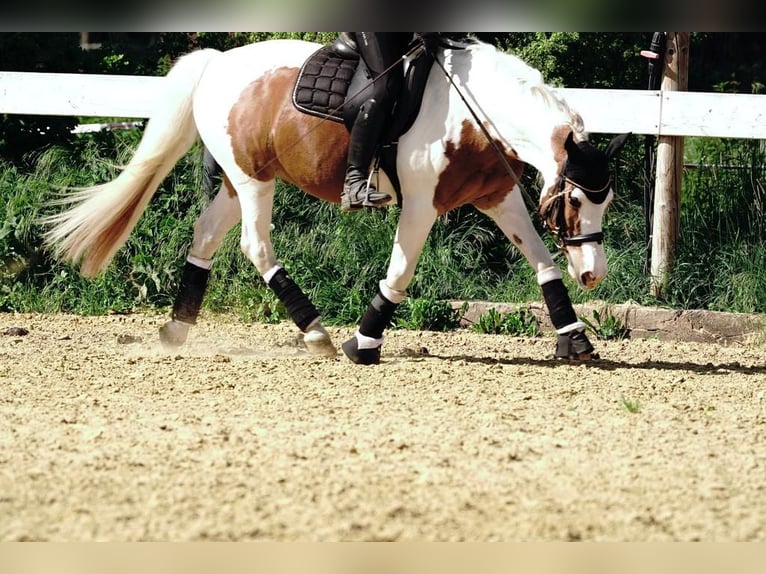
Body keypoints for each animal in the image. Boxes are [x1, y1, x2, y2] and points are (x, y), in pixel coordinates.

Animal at [43, 36, 628, 365]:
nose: (594, 275)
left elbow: (542, 262)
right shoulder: (422, 206)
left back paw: (177, 329)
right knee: (255, 246)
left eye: (604, 202)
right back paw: (318, 333)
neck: (474, 112)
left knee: (206, 236)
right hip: (252, 180)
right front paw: (363, 344)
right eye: (578, 201)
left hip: (239, 178)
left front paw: (575, 340)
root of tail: (216, 62)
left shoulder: (498, 195)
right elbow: (399, 274)